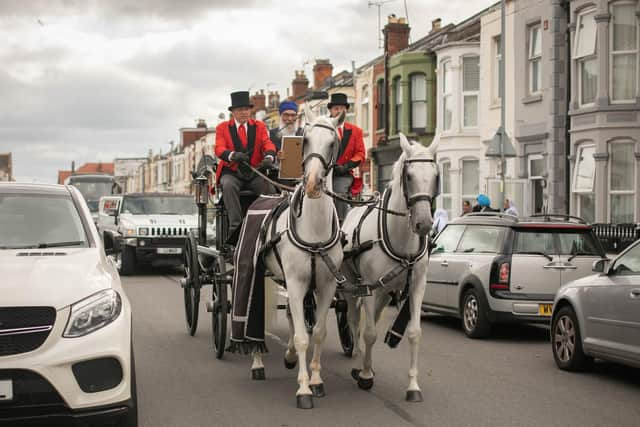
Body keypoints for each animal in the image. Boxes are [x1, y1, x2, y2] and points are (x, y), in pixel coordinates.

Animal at [255, 107, 344, 412]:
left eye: (333, 142)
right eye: (304, 140)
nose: (313, 183)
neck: (314, 229)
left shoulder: (325, 285)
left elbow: (316, 332)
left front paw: (315, 380)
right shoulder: (295, 283)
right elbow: (303, 337)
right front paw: (304, 389)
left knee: (294, 319)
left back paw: (290, 357)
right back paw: (257, 362)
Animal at [340, 134, 440, 404]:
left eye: (436, 176)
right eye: (409, 176)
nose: (424, 223)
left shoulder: (416, 285)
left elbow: (414, 333)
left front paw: (413, 386)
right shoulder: (368, 287)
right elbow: (369, 333)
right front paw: (365, 376)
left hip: (385, 293)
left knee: (371, 319)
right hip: (352, 287)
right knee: (355, 321)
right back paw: (358, 360)